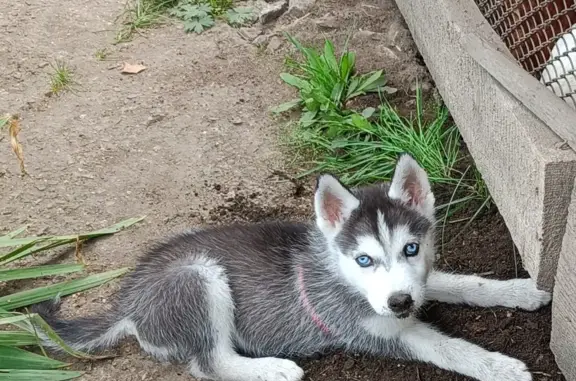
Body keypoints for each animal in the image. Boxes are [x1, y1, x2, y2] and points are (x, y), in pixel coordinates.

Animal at [35, 154, 548, 380]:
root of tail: (128, 304)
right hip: (199, 277)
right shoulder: (375, 329)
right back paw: (273, 369)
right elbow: (445, 346)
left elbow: (459, 282)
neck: (340, 275)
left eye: (411, 248)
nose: (401, 301)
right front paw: (498, 365)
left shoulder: (412, 287)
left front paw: (520, 291)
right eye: (364, 259)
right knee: (209, 362)